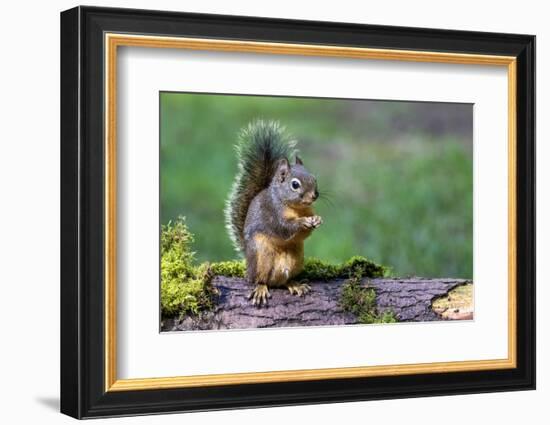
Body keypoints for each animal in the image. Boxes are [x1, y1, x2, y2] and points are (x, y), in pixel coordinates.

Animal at [226, 121, 326, 306]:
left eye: (314, 179)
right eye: (295, 184)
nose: (314, 196)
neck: (296, 208)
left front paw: (316, 219)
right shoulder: (272, 212)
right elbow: (283, 228)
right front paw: (302, 222)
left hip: (296, 259)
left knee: (284, 280)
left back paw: (294, 284)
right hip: (261, 257)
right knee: (260, 279)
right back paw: (260, 288)